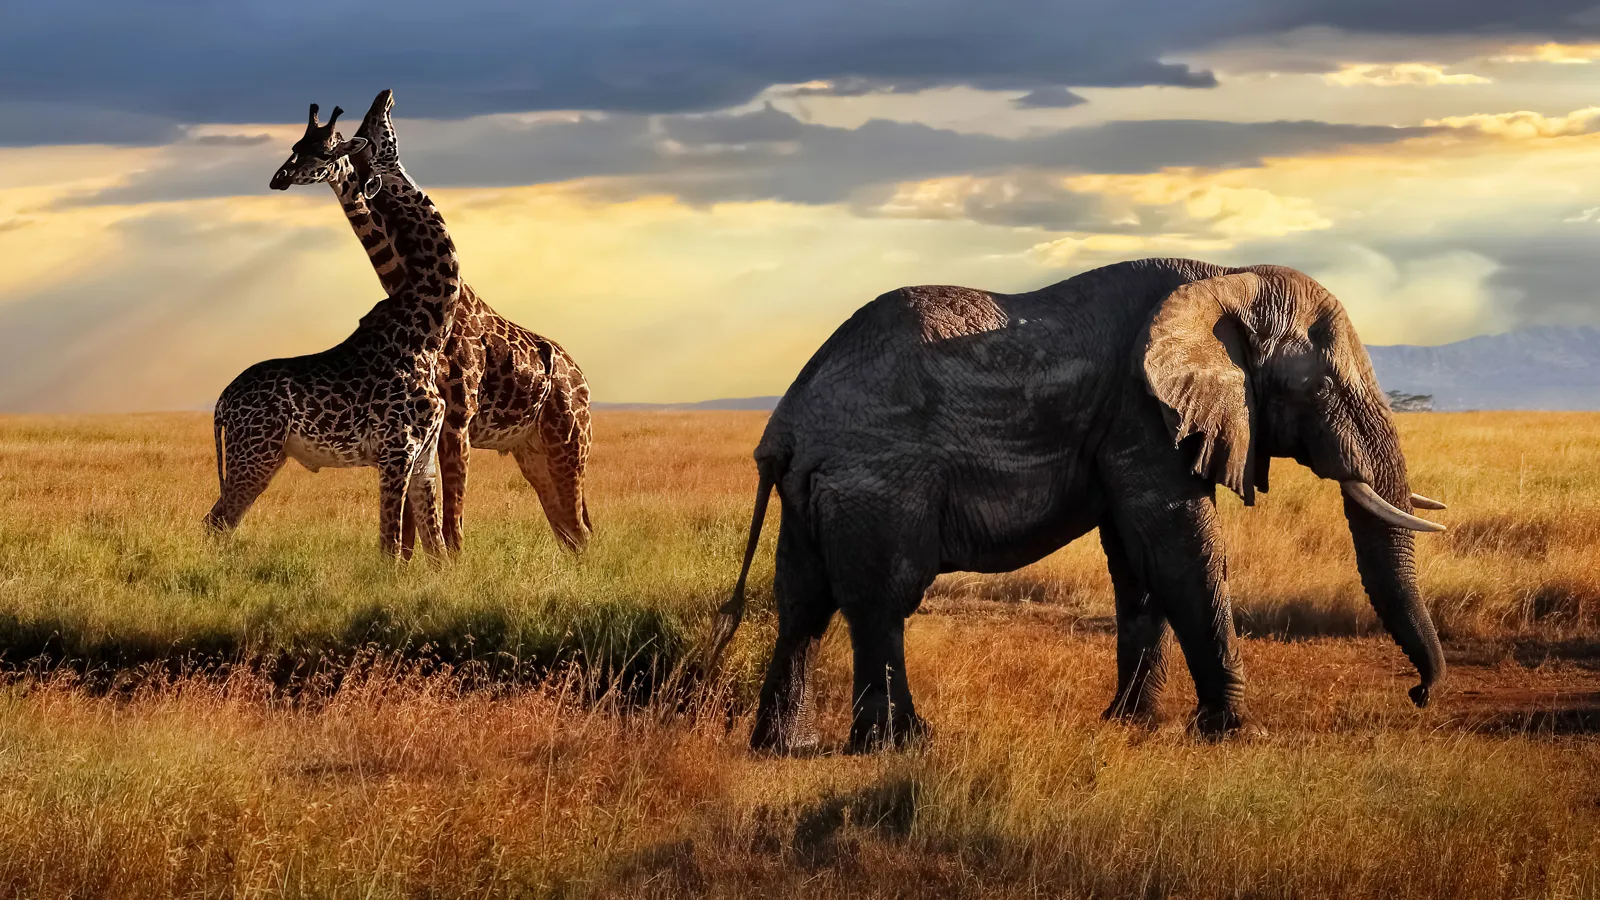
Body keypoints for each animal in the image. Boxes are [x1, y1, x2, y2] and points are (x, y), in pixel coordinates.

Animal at [707, 257, 1449, 752]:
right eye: (1313, 386)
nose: (1419, 695)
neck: (1222, 279)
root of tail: (785, 426)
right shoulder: (1140, 415)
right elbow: (1179, 547)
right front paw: (1234, 733)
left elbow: (1139, 563)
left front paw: (1129, 725)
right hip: (878, 481)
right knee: (881, 603)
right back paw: (904, 744)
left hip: (813, 493)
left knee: (804, 605)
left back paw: (786, 747)